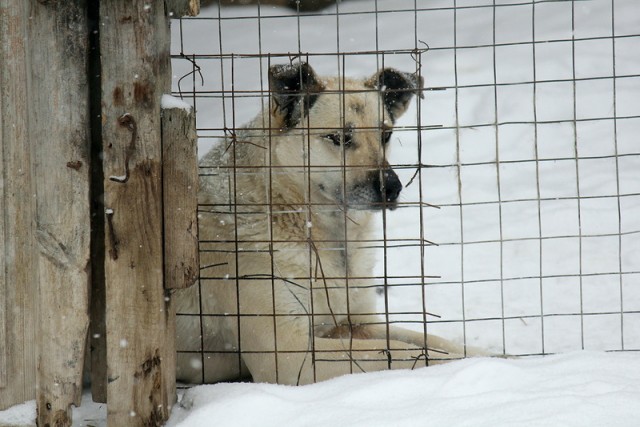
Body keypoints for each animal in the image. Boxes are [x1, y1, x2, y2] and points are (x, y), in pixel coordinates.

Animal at [175, 61, 476, 386]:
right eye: (339, 137)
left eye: (385, 134)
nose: (393, 188)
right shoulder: (290, 354)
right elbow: (401, 351)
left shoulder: (356, 322)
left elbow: (430, 340)